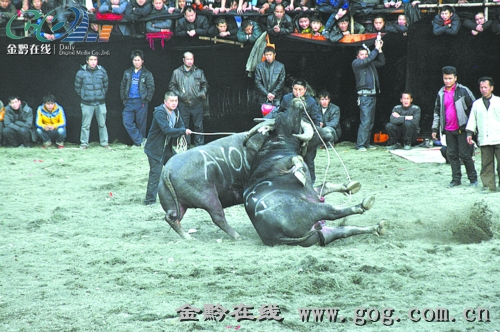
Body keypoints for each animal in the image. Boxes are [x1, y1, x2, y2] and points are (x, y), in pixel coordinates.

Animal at [244, 98, 384, 246]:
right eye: (283, 117)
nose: (296, 101)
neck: (277, 146)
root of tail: (276, 237)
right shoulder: (282, 164)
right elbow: (297, 159)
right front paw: (300, 173)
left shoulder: (313, 191)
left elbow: (325, 185)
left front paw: (349, 186)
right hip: (311, 209)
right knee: (332, 212)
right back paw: (363, 205)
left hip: (321, 233)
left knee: (344, 230)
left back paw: (377, 227)